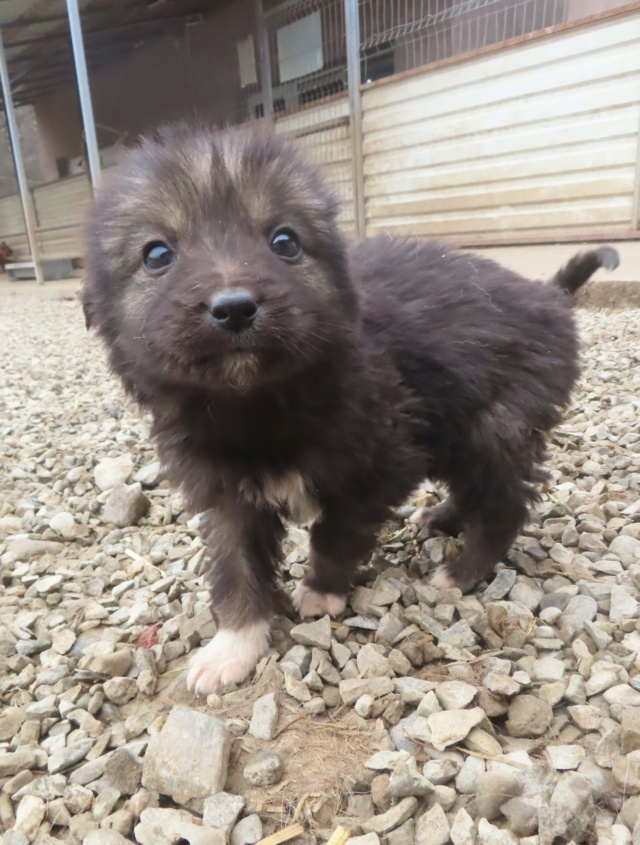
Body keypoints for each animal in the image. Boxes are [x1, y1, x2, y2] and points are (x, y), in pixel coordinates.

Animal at [82, 123, 616, 692]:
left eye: (285, 242)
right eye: (157, 255)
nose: (234, 308)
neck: (258, 408)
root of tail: (549, 296)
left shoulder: (381, 463)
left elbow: (334, 532)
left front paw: (321, 590)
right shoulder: (227, 495)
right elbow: (236, 567)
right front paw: (234, 645)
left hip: (495, 426)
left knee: (503, 501)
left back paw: (462, 571)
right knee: (471, 491)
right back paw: (440, 517)